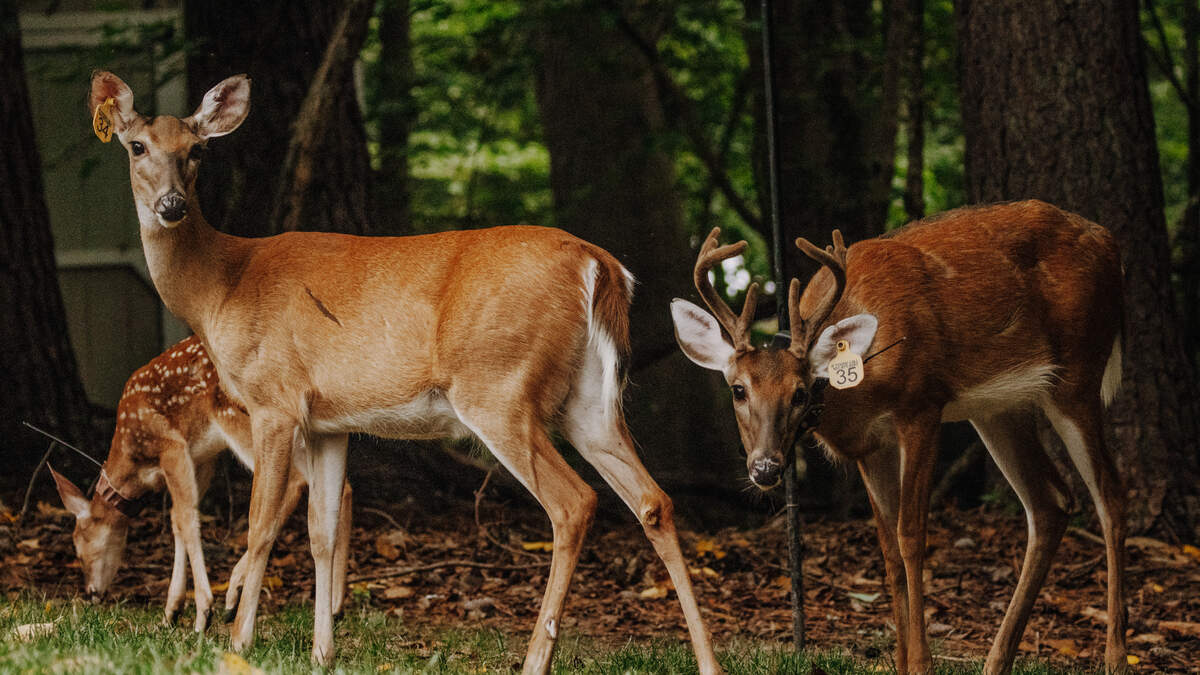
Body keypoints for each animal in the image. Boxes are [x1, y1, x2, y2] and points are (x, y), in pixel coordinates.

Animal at [49, 335, 352, 632]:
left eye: (78, 546)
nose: (91, 593)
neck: (134, 458)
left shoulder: (172, 446)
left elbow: (187, 518)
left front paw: (203, 612)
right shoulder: (203, 459)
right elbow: (176, 518)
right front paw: (171, 611)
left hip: (245, 419)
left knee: (296, 482)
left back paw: (235, 596)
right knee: (343, 487)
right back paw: (335, 606)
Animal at [86, 70, 721, 673]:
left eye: (197, 150)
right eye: (137, 146)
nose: (171, 205)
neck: (222, 285)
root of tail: (601, 264)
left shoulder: (274, 400)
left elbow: (261, 523)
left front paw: (239, 638)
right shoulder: (329, 422)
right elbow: (321, 531)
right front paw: (322, 653)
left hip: (497, 387)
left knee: (574, 504)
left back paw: (535, 659)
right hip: (588, 400)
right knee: (654, 500)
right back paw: (707, 660)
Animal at [670, 200, 1127, 674]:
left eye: (799, 392)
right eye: (738, 390)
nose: (765, 468)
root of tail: (1109, 244)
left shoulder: (921, 407)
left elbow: (911, 536)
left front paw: (922, 662)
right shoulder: (870, 446)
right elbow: (888, 549)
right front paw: (901, 660)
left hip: (1079, 371)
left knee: (1110, 494)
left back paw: (1115, 655)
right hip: (1000, 406)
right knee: (1050, 502)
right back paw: (996, 661)